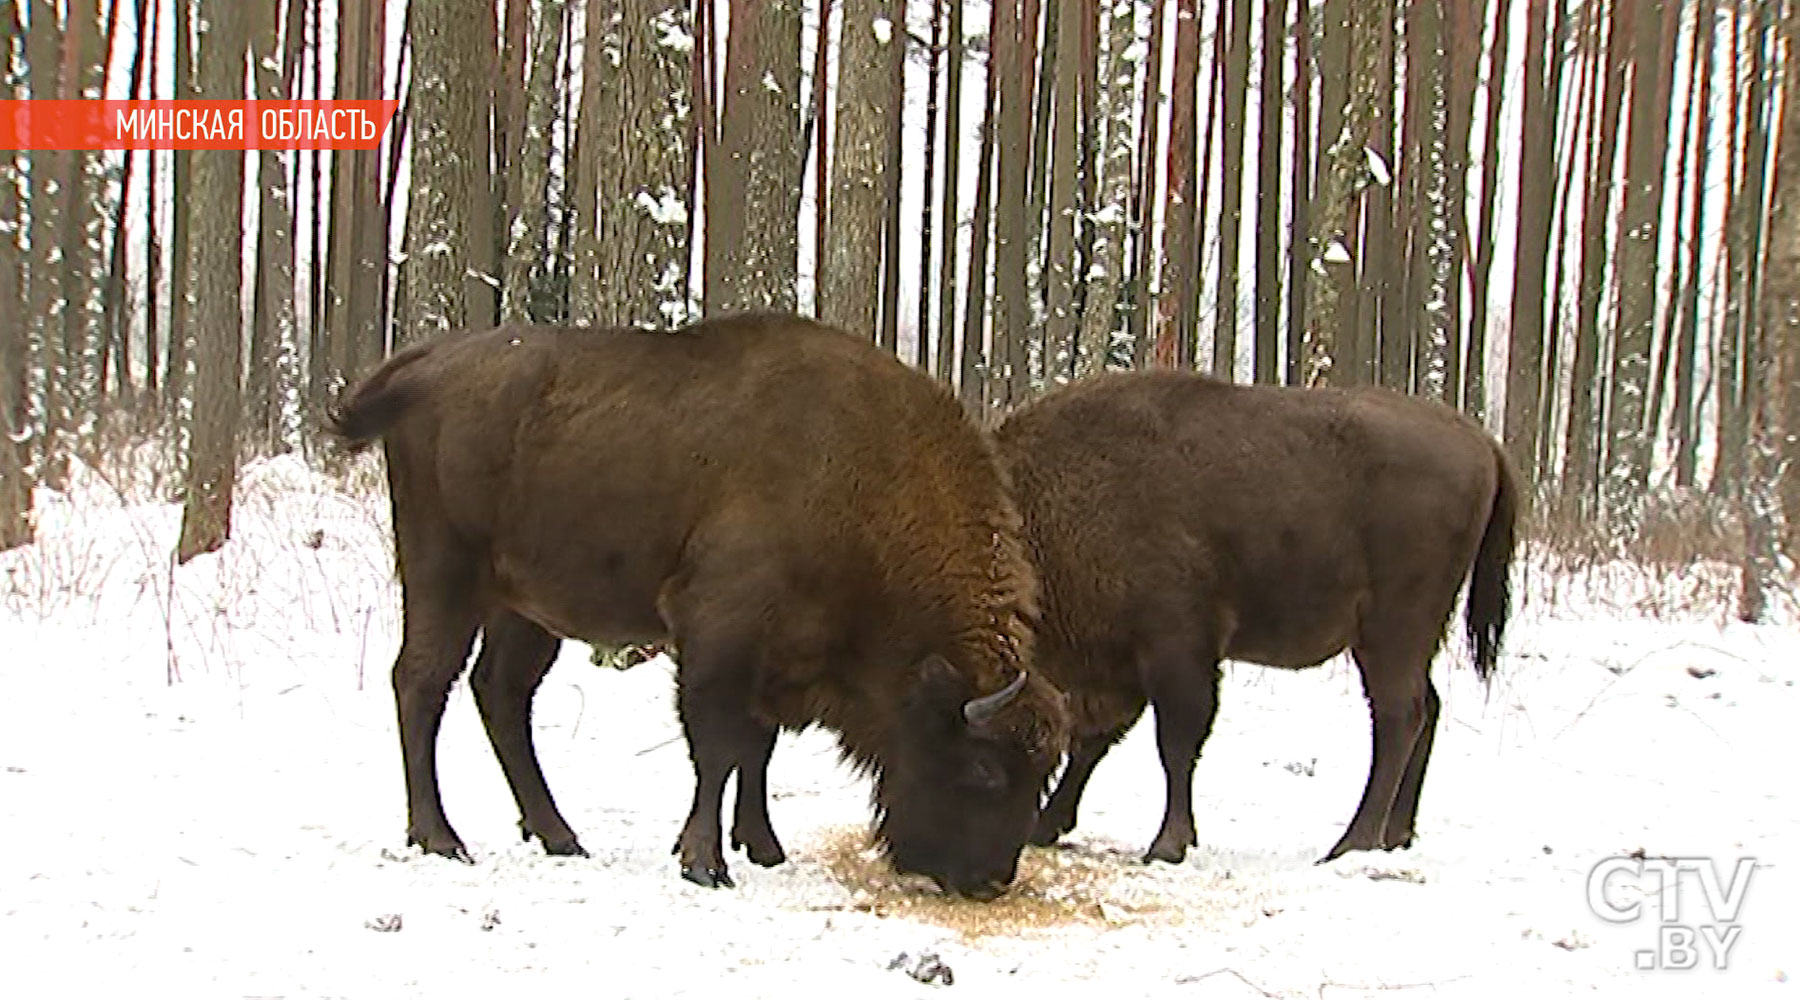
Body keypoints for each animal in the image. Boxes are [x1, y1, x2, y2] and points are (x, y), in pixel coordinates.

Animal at [327, 314, 1065, 899]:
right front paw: (705, 863)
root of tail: (427, 364)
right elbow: (717, 748)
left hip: (526, 608)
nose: (992, 880)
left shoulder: (778, 659)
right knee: (421, 683)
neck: (863, 478)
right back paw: (440, 837)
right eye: (983, 768)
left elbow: (756, 750)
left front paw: (763, 847)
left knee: (500, 694)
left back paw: (559, 835)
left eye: (1042, 772)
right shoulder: (720, 632)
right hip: (444, 575)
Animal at [993, 370, 1512, 863]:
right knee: (1428, 708)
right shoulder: (1115, 663)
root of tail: (1483, 443)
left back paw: (1351, 843)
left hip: (1392, 630)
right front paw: (1048, 826)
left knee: (1399, 715)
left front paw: (1167, 845)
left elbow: (1175, 744)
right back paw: (1395, 836)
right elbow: (1092, 741)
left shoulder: (1176, 647)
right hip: (1408, 638)